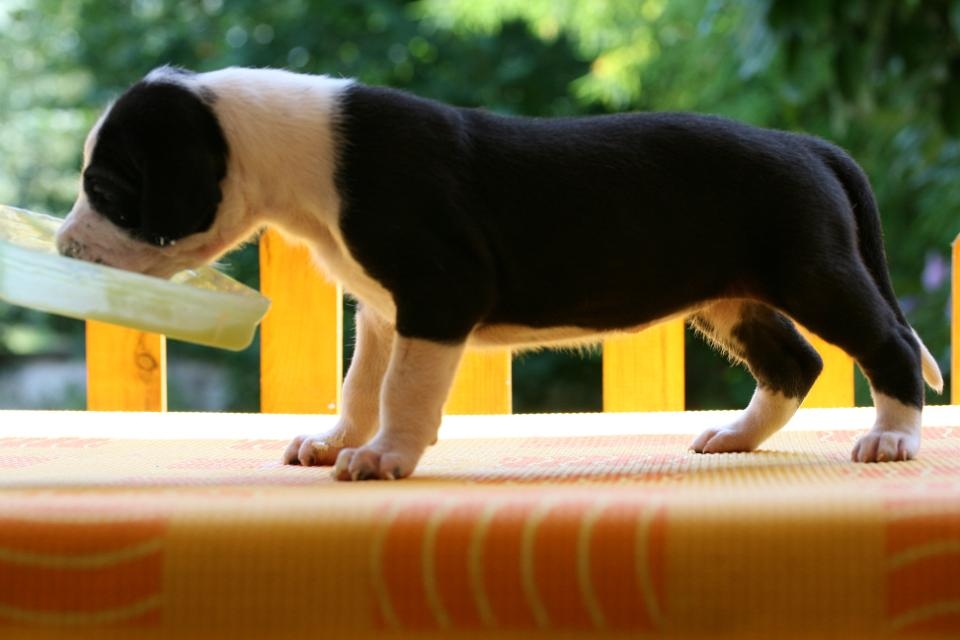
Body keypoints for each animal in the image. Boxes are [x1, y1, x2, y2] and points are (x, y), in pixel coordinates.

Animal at [56, 66, 943, 480]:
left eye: (109, 187)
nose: (64, 249)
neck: (284, 148)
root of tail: (807, 144)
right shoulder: (381, 310)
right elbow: (361, 384)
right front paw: (338, 439)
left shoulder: (435, 297)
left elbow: (405, 392)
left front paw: (384, 457)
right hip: (731, 297)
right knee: (794, 361)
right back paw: (735, 435)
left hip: (811, 272)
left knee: (888, 345)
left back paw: (893, 438)